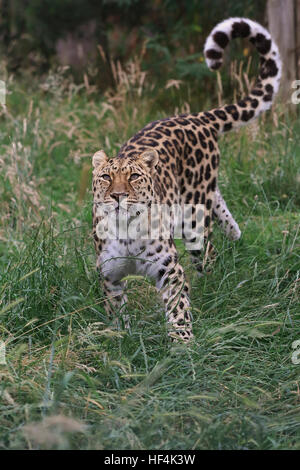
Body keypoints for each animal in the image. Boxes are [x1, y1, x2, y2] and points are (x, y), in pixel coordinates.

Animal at [91, 17, 282, 342]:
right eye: (106, 177)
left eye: (134, 177)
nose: (118, 196)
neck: (125, 230)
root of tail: (195, 117)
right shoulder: (110, 276)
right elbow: (116, 312)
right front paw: (121, 339)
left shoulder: (170, 270)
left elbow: (179, 307)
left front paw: (183, 345)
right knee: (223, 214)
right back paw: (235, 240)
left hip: (194, 219)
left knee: (209, 254)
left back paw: (214, 290)